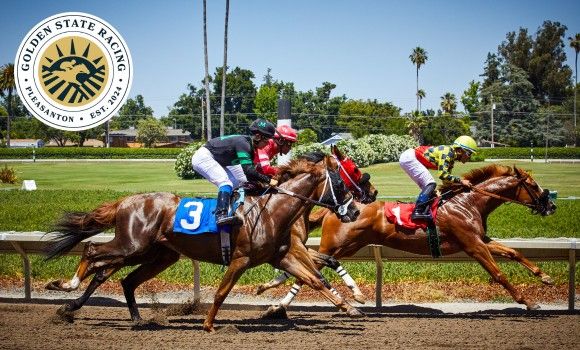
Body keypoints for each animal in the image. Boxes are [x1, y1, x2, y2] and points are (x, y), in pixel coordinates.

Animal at [44, 153, 362, 330]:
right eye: (341, 183)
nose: (356, 211)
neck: (271, 210)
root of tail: (125, 200)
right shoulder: (241, 259)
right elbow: (222, 292)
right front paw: (209, 325)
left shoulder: (281, 256)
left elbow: (315, 279)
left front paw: (350, 307)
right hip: (132, 245)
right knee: (92, 251)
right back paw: (65, 288)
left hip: (157, 254)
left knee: (124, 278)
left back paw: (128, 317)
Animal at [260, 164, 556, 314]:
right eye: (533, 184)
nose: (551, 205)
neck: (469, 202)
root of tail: (339, 207)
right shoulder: (473, 246)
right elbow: (499, 274)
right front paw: (528, 302)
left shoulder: (481, 239)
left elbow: (514, 253)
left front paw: (545, 277)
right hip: (338, 244)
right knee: (309, 270)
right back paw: (278, 303)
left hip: (347, 246)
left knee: (311, 268)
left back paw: (277, 296)